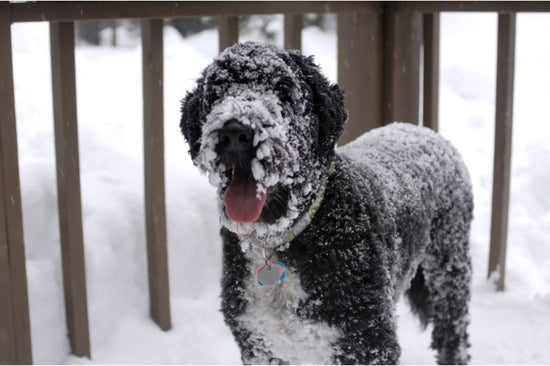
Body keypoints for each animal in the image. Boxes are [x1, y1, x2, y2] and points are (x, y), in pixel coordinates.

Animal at [181, 42, 474, 364]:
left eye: (284, 91)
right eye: (216, 93)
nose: (234, 132)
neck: (282, 243)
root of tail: (421, 130)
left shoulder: (369, 343)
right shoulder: (259, 344)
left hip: (449, 267)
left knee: (452, 333)